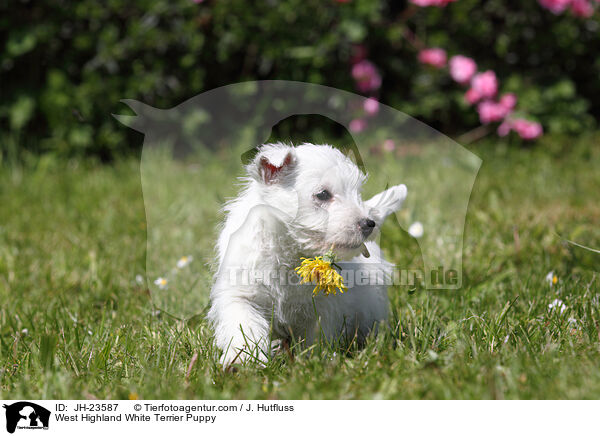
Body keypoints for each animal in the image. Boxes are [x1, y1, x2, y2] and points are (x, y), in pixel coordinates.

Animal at [207, 143, 408, 364]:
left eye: (357, 193)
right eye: (322, 194)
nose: (368, 223)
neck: (292, 252)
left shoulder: (322, 307)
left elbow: (315, 337)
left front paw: (313, 361)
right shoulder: (240, 293)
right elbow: (244, 324)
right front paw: (242, 359)